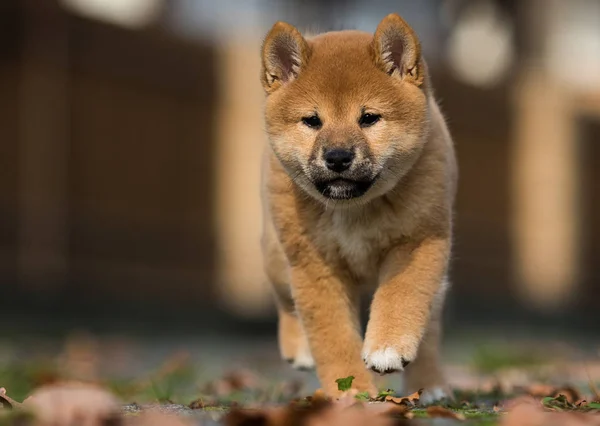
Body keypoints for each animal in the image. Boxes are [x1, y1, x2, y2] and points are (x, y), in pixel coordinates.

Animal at [258, 11, 454, 402]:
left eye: (369, 118)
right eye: (312, 120)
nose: (337, 156)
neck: (354, 209)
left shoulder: (419, 241)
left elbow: (402, 295)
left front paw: (387, 348)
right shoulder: (315, 266)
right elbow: (333, 338)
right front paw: (350, 391)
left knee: (430, 331)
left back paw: (429, 384)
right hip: (277, 255)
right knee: (286, 302)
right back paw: (298, 348)